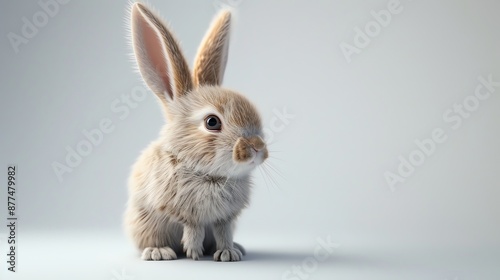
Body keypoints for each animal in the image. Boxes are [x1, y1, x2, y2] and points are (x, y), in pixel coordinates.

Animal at [123, 1, 268, 262]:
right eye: (212, 122)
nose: (257, 148)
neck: (210, 174)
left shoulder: (225, 217)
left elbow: (223, 231)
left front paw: (228, 253)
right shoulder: (178, 208)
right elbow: (193, 226)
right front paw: (193, 251)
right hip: (144, 223)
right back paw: (159, 252)